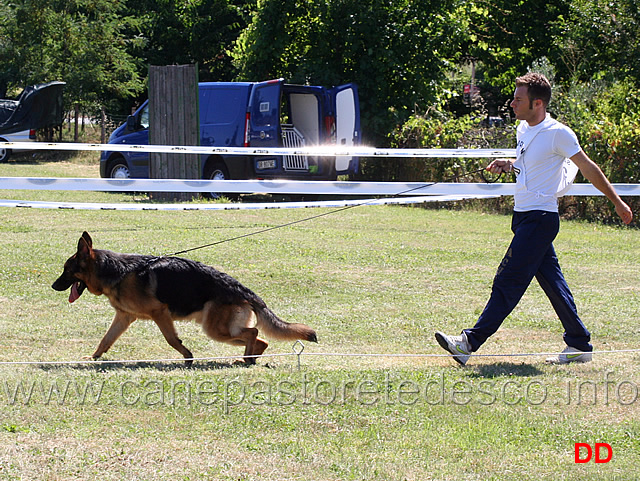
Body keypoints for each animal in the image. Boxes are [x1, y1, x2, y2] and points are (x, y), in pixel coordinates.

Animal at [52, 232, 318, 364]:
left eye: (66, 270)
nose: (53, 285)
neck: (116, 271)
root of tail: (245, 290)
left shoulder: (160, 313)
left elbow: (171, 339)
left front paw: (187, 356)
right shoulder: (124, 317)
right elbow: (106, 340)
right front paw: (94, 358)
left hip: (216, 329)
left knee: (253, 333)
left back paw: (245, 359)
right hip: (224, 330)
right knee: (261, 340)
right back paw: (248, 359)